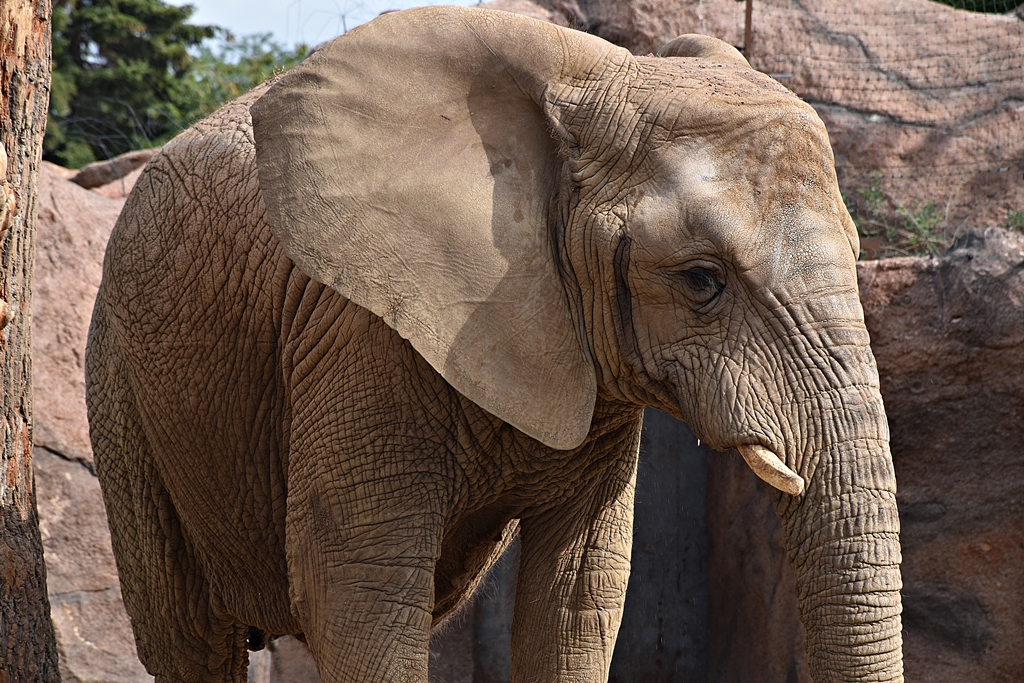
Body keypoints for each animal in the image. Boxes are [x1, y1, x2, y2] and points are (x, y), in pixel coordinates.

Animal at [85, 6, 903, 683]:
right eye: (702, 279)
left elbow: (575, 596)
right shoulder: (358, 332)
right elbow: (357, 587)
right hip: (119, 381)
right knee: (190, 639)